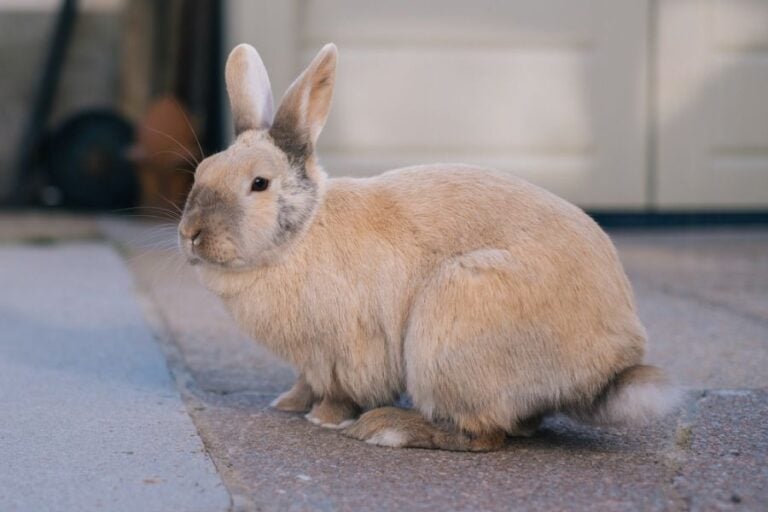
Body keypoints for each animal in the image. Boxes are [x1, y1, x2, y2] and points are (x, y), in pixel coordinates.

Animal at [178, 43, 680, 451]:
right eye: (203, 170)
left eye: (259, 184)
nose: (190, 233)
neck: (303, 233)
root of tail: (611, 366)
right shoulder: (310, 361)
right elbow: (304, 383)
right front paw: (286, 404)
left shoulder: (342, 352)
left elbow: (338, 394)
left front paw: (324, 420)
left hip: (447, 331)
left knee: (483, 435)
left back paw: (387, 429)